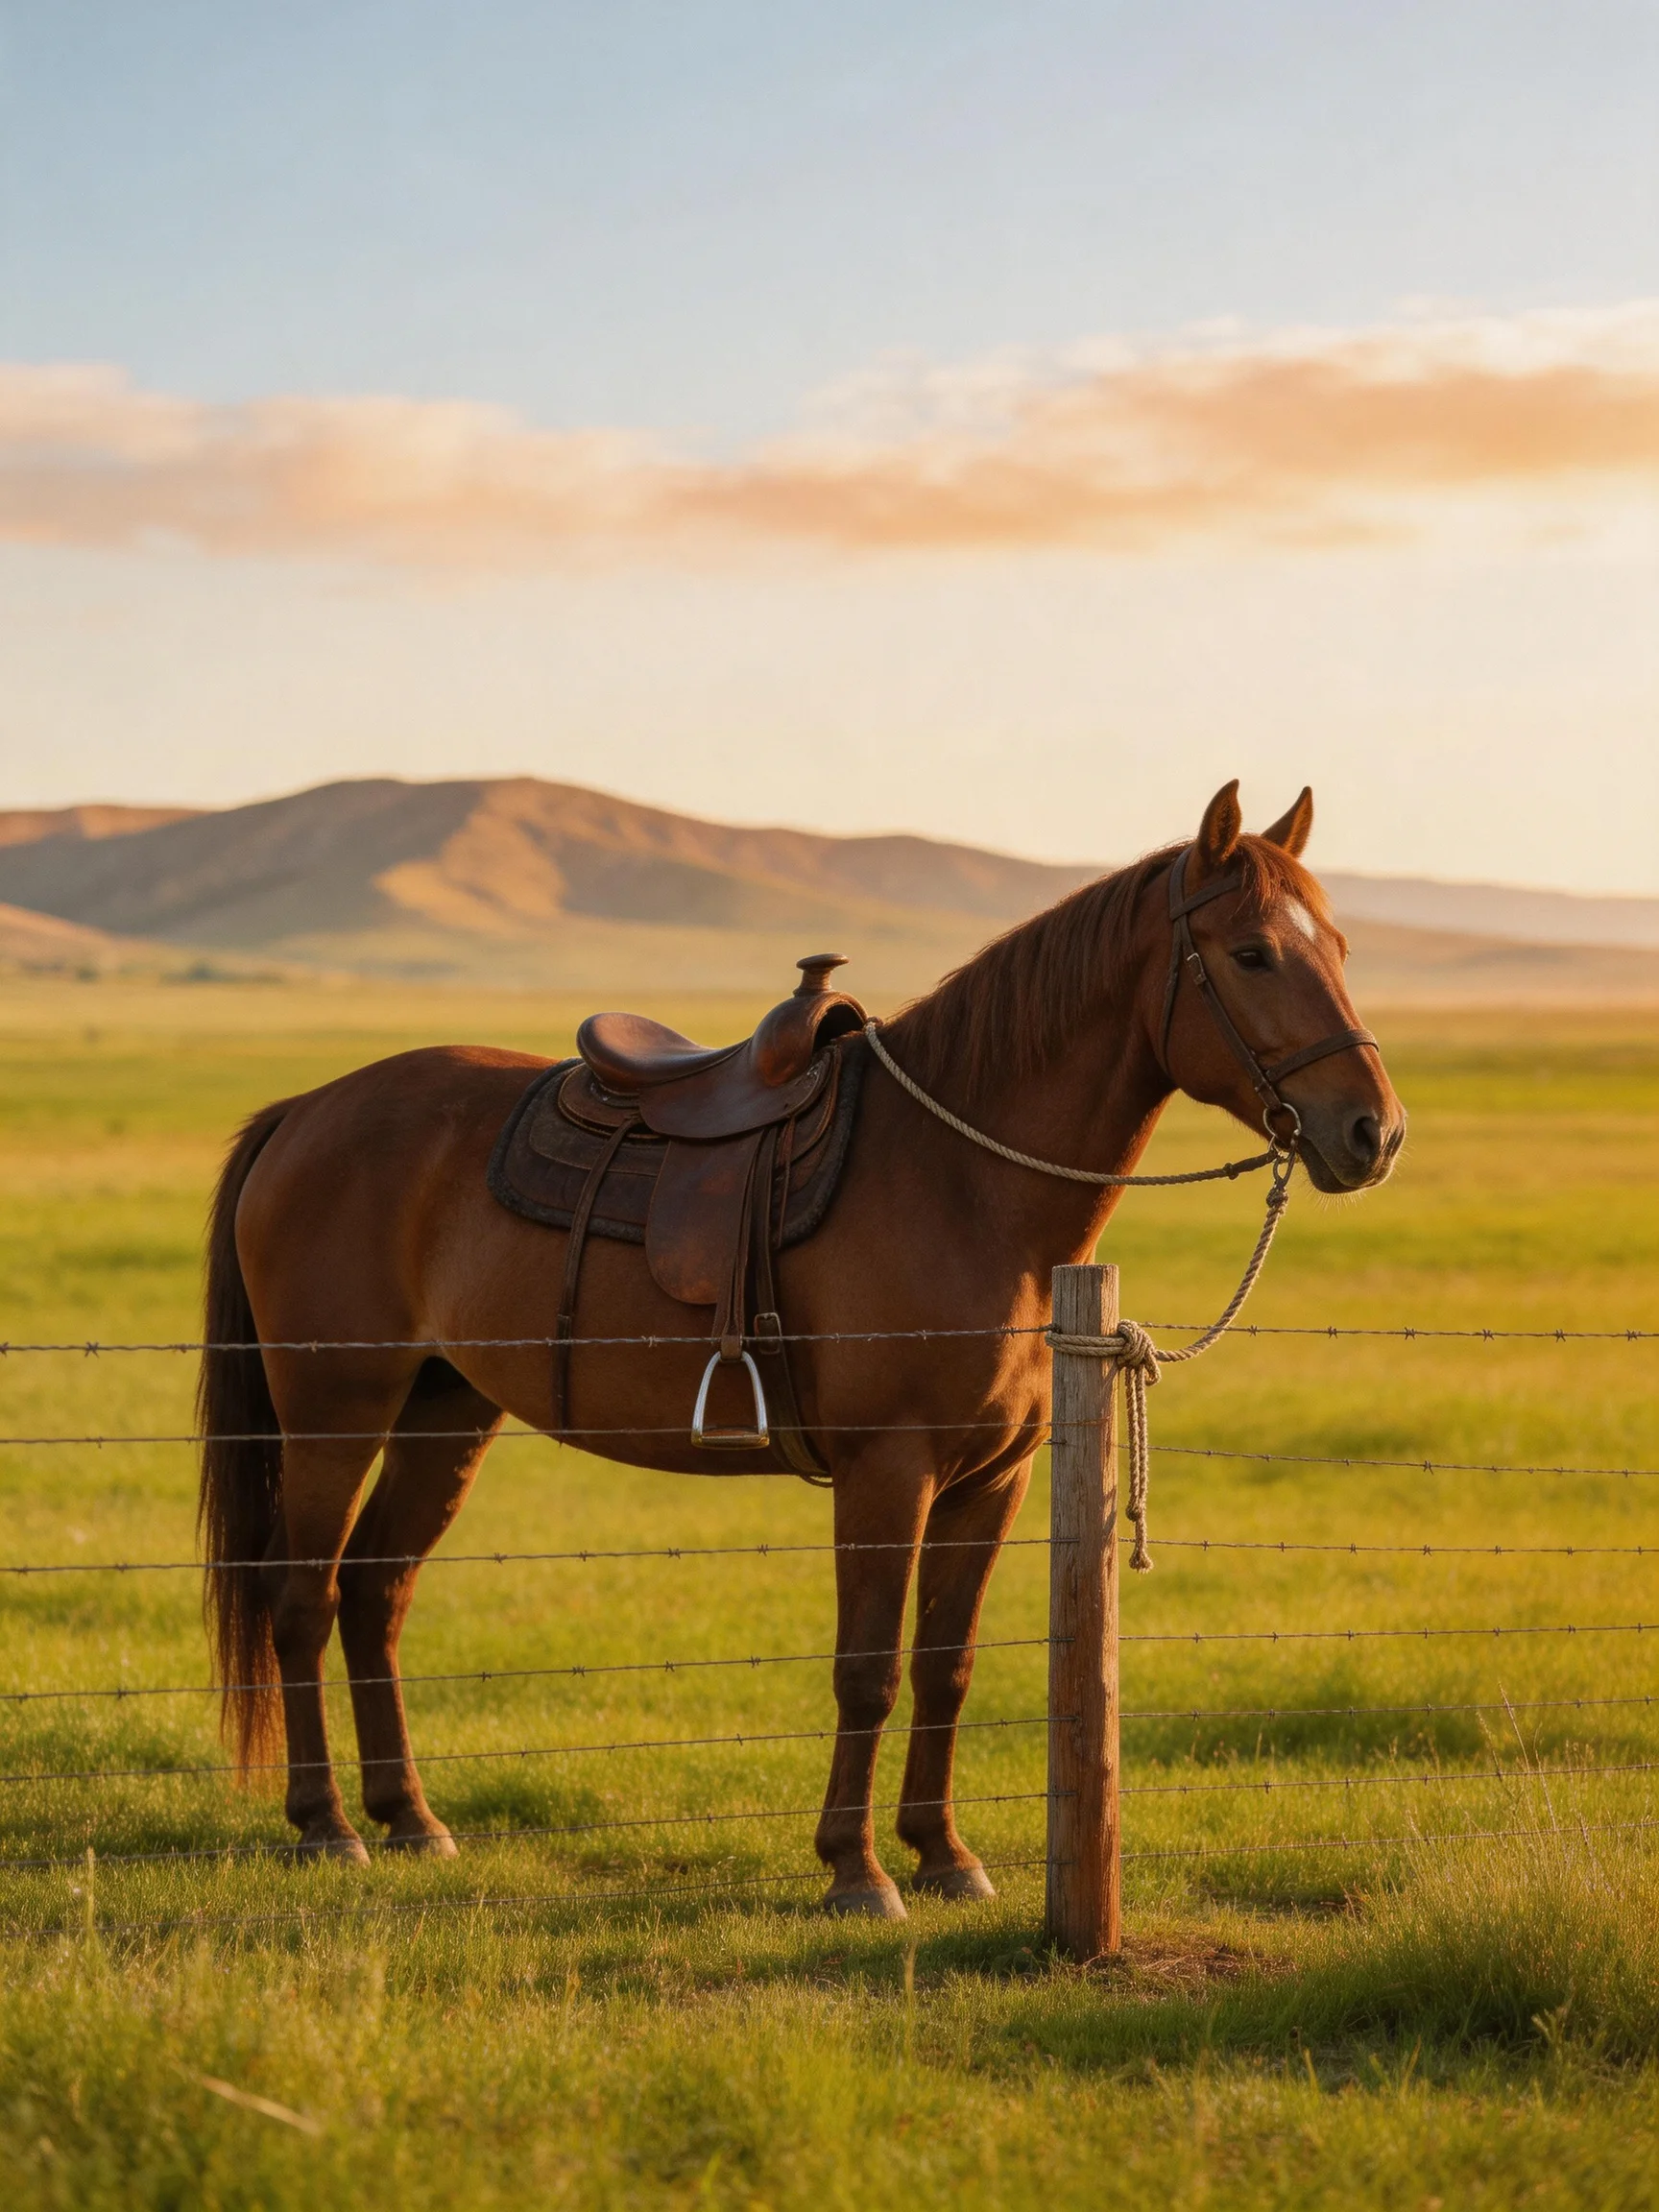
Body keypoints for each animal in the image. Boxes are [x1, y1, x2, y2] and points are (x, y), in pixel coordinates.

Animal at [197, 780, 1405, 1918]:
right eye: (1251, 953)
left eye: (1342, 948)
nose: (1374, 1133)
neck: (962, 1179)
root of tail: (306, 1109)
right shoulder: (887, 1470)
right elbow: (867, 1669)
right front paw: (856, 1872)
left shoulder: (993, 1480)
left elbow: (947, 1666)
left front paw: (944, 1856)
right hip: (336, 1410)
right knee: (301, 1597)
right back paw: (326, 1825)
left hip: (445, 1410)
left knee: (375, 1591)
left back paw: (409, 1817)